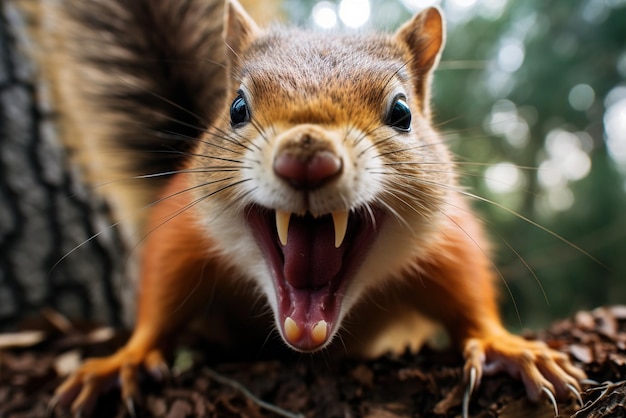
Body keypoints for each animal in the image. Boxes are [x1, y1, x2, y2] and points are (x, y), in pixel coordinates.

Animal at [46, 0, 588, 414]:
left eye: (402, 112)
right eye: (237, 108)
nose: (306, 158)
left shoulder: (449, 238)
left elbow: (469, 297)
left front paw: (506, 345)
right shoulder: (182, 233)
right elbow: (160, 301)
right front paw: (127, 359)